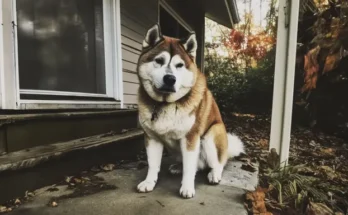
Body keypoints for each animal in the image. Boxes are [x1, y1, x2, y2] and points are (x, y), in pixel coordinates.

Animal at [136, 24, 245, 199]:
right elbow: (153, 164)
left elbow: (189, 168)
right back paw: (177, 167)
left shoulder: (191, 137)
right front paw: (149, 182)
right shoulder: (152, 138)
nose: (170, 79)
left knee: (218, 163)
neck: (165, 104)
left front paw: (187, 187)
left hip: (210, 136)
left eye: (179, 65)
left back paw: (214, 174)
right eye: (159, 61)